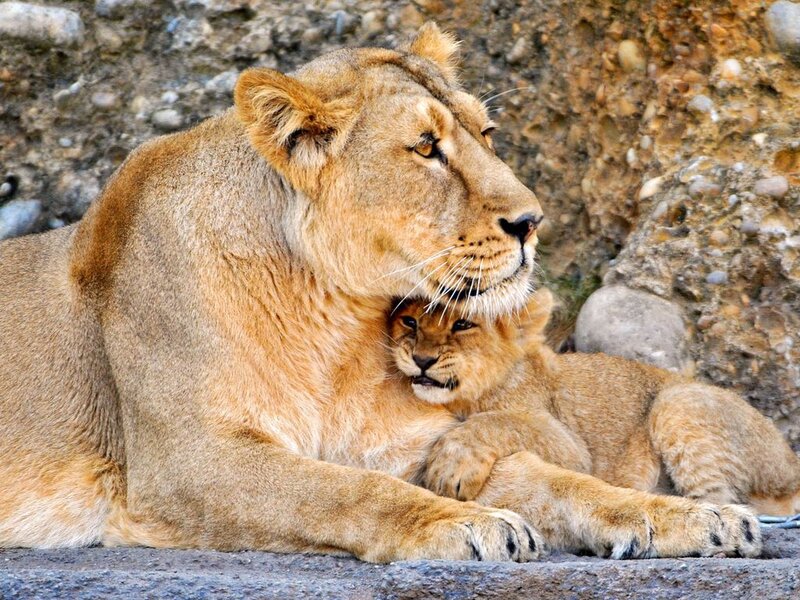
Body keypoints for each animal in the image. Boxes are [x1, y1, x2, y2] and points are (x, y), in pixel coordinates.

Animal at [389, 288, 800, 521]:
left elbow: (500, 421)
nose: (422, 360)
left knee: (729, 501)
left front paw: (451, 466)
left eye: (462, 325)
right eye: (409, 321)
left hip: (677, 401)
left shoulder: (570, 447)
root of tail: (790, 462)